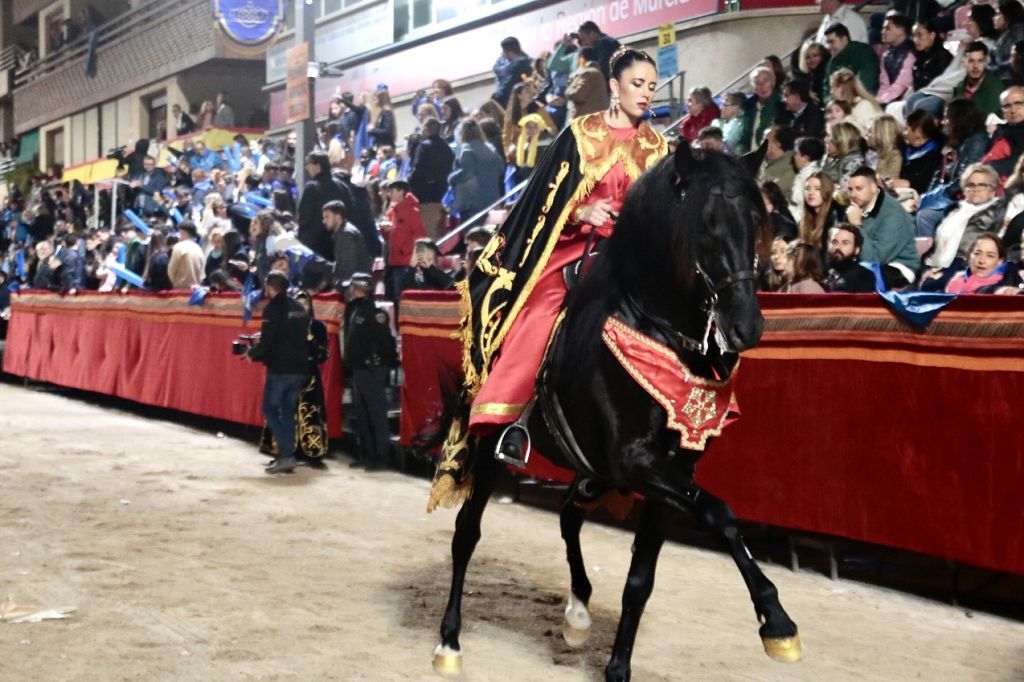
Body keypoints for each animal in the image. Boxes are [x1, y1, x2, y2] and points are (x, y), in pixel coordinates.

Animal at [432, 140, 798, 675]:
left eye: (756, 218)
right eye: (706, 222)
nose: (746, 325)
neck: (658, 330)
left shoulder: (672, 470)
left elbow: (641, 581)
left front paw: (618, 667)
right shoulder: (636, 461)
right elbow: (722, 513)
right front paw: (777, 620)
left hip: (593, 470)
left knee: (568, 513)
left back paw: (578, 612)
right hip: (488, 447)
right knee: (466, 534)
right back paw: (449, 642)